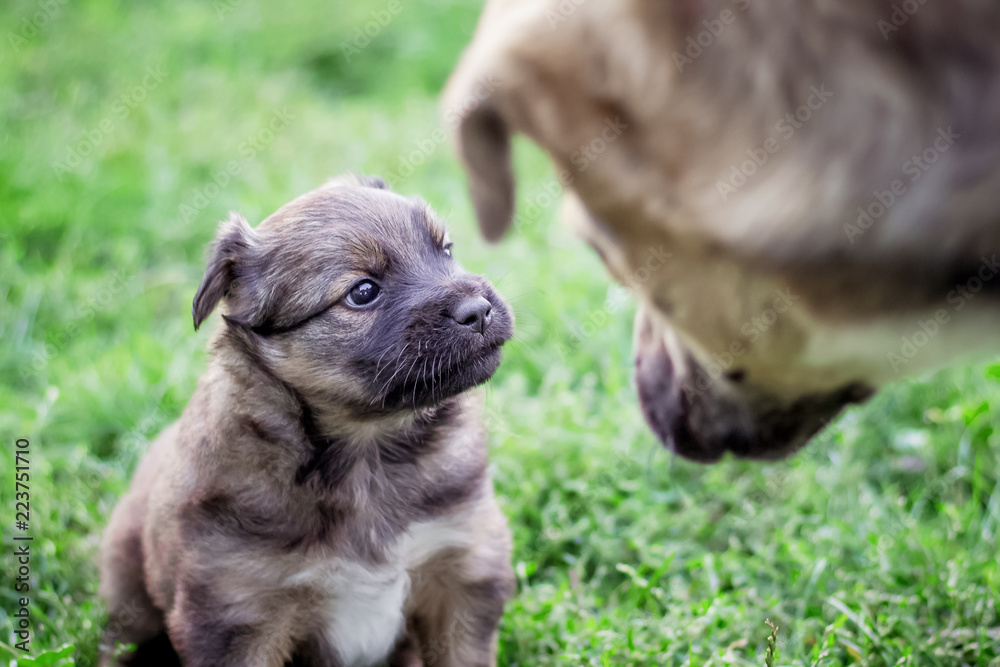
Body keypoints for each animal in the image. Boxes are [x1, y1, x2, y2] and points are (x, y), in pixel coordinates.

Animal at [99, 176, 516, 667]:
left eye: (446, 250)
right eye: (362, 292)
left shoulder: (462, 569)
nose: (479, 310)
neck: (366, 456)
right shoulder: (237, 612)